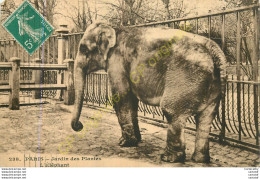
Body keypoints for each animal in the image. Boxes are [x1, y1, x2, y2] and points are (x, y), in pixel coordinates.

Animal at [70, 21, 226, 163]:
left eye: (83, 49)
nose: (79, 126)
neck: (113, 28)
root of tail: (214, 51)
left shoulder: (117, 61)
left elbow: (121, 97)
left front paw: (124, 143)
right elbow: (132, 101)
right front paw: (136, 140)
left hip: (185, 78)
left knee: (171, 111)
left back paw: (168, 158)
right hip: (212, 86)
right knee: (206, 118)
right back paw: (200, 159)